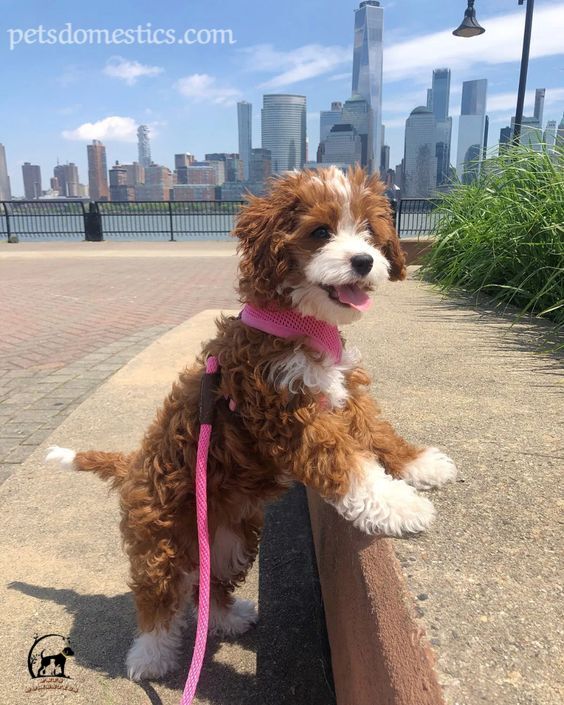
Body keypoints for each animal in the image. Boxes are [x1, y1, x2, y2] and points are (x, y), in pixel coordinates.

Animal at [46, 166, 456, 680]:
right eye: (320, 232)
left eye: (369, 230)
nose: (364, 261)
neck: (300, 323)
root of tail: (133, 463)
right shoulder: (287, 415)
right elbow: (348, 465)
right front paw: (400, 506)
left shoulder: (345, 393)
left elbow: (376, 432)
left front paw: (418, 464)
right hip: (158, 533)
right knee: (158, 594)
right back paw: (150, 655)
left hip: (230, 539)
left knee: (209, 584)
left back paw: (226, 618)